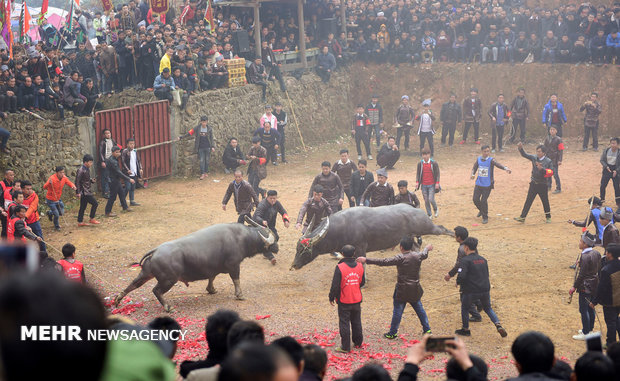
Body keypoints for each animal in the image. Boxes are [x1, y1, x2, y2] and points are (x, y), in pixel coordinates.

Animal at [114, 217, 278, 312]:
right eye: (271, 243)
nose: (277, 247)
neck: (241, 238)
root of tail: (156, 251)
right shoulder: (234, 265)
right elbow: (236, 280)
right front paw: (240, 295)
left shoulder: (213, 267)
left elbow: (212, 277)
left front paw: (211, 290)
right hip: (168, 280)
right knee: (156, 290)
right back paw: (168, 307)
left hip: (146, 273)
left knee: (133, 284)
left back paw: (117, 300)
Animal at [290, 203, 456, 268]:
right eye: (297, 248)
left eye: (304, 250)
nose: (294, 265)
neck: (341, 227)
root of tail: (416, 209)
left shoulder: (361, 248)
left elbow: (362, 264)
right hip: (409, 237)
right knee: (415, 247)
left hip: (428, 228)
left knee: (443, 229)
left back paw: (456, 236)